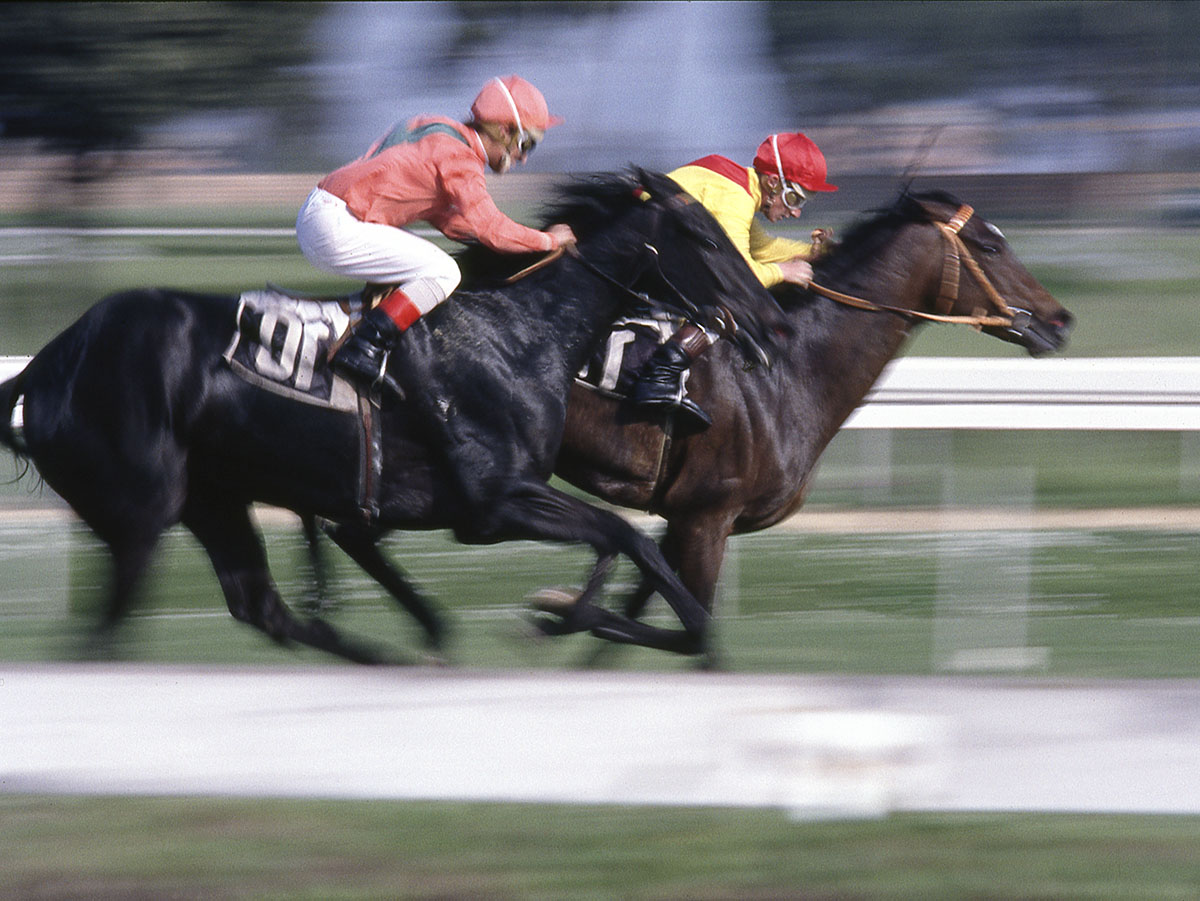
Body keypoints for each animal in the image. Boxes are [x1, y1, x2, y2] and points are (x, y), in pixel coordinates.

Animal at [0, 169, 777, 662]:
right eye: (708, 239)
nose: (767, 318)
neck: (518, 335)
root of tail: (47, 364)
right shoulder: (494, 504)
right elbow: (624, 534)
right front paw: (634, 625)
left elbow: (624, 539)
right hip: (142, 509)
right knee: (107, 628)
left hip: (213, 497)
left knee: (257, 603)